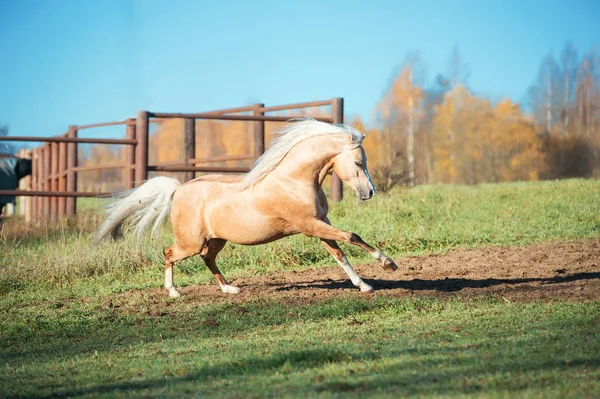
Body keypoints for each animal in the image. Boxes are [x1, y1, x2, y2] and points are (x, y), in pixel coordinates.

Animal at [95, 119, 398, 296]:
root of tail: (177, 189)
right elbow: (352, 237)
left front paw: (365, 285)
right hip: (190, 242)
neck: (294, 179)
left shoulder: (320, 225)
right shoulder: (311, 226)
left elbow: (340, 255)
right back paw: (174, 292)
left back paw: (230, 289)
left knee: (208, 258)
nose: (370, 192)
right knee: (168, 253)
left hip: (216, 240)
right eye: (359, 162)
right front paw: (388, 265)